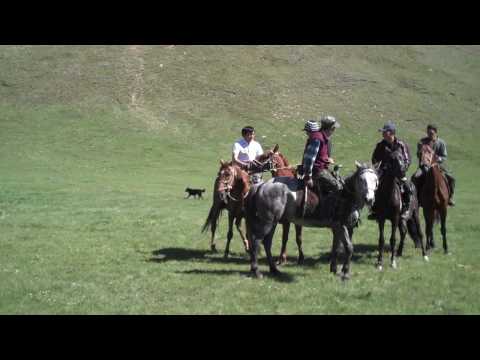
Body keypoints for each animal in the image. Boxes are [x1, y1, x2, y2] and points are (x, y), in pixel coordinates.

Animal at [248, 162, 378, 280]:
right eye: (361, 179)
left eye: (376, 180)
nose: (369, 199)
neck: (345, 195)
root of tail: (262, 185)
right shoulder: (341, 226)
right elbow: (349, 248)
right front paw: (345, 273)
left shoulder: (336, 227)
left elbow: (336, 247)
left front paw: (334, 269)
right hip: (267, 223)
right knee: (256, 242)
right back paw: (257, 271)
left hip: (273, 223)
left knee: (267, 243)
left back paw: (274, 269)